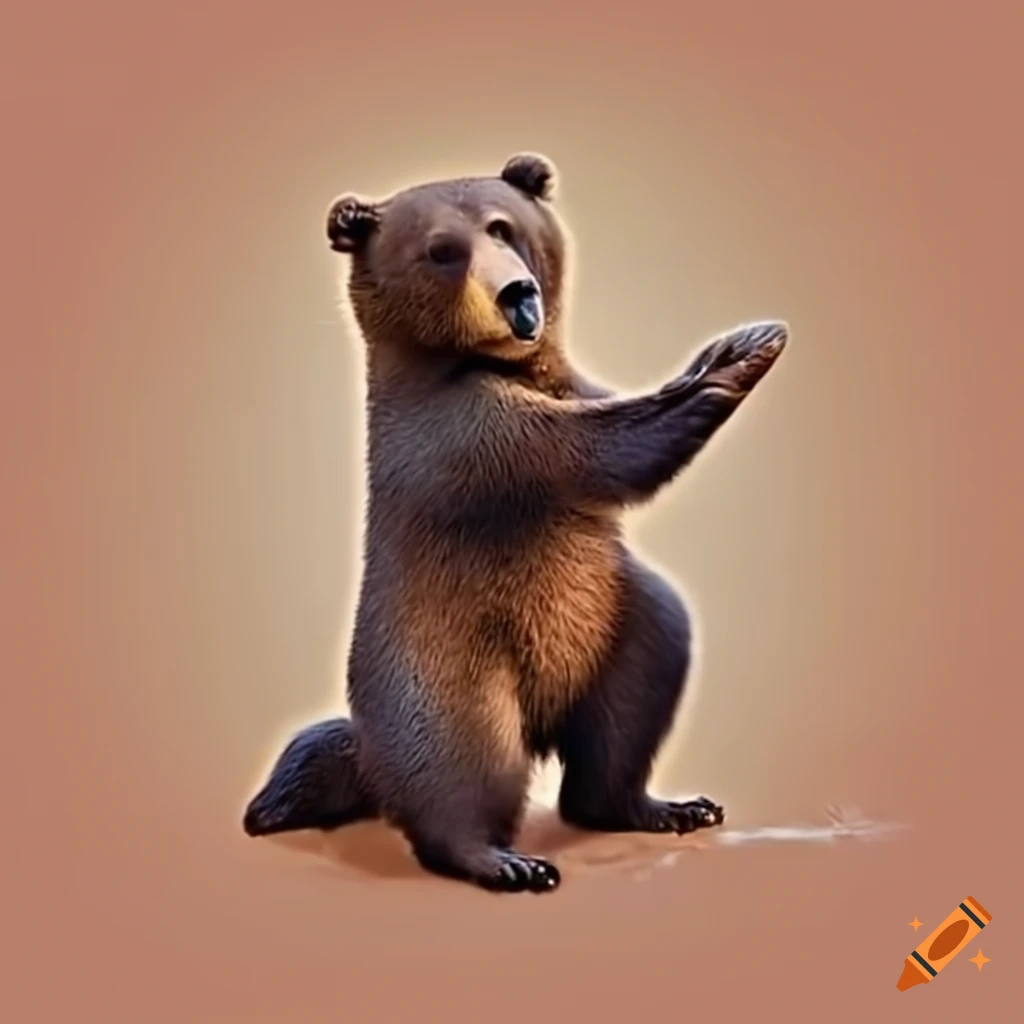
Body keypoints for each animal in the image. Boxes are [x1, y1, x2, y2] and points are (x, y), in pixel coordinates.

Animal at [242, 152, 788, 894]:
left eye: (502, 227)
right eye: (442, 250)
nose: (517, 293)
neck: (505, 366)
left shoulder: (566, 386)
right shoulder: (462, 438)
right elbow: (599, 452)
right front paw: (737, 355)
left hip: (623, 622)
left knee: (634, 702)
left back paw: (662, 807)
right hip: (443, 664)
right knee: (462, 762)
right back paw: (503, 859)